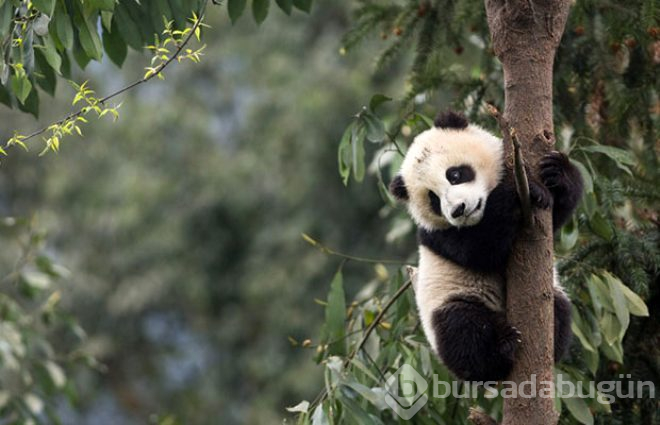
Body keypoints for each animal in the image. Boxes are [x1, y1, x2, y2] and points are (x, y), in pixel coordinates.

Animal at [390, 110, 584, 380]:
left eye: (455, 174)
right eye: (433, 199)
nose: (458, 210)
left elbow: (556, 216)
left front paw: (555, 172)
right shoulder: (437, 235)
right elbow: (480, 249)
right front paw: (517, 192)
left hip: (553, 292)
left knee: (561, 308)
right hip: (450, 299)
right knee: (462, 330)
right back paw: (501, 348)